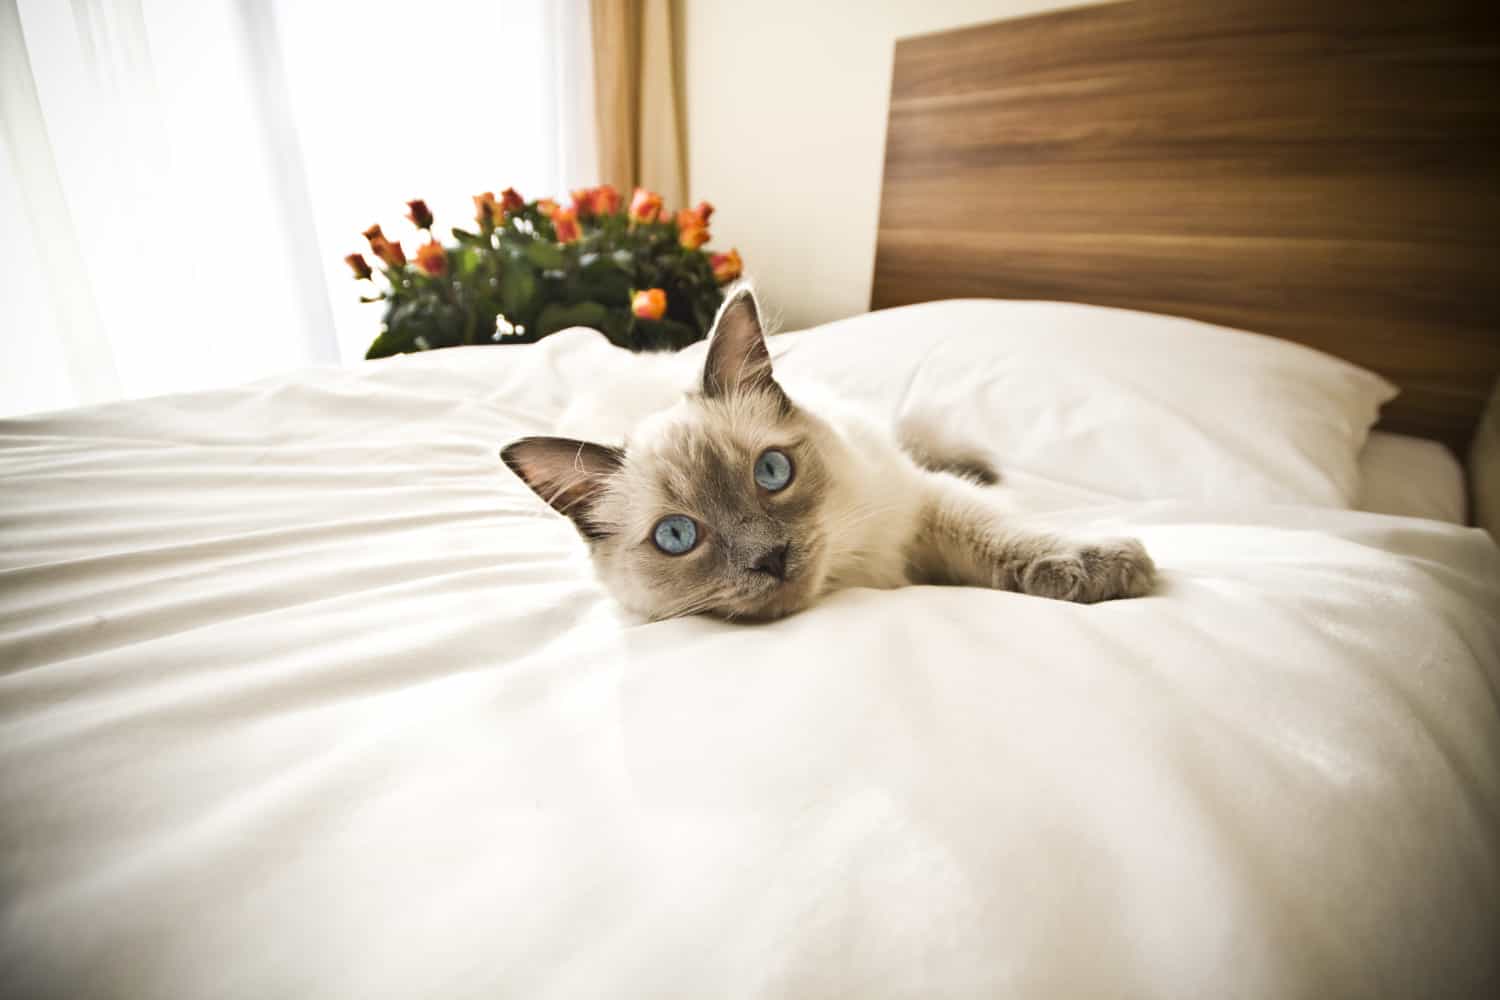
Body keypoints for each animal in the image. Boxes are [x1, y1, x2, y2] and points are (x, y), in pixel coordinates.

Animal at [498, 284, 1152, 620]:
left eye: (771, 472)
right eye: (678, 537)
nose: (770, 557)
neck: (857, 573)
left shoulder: (917, 503)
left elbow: (999, 534)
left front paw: (1106, 567)